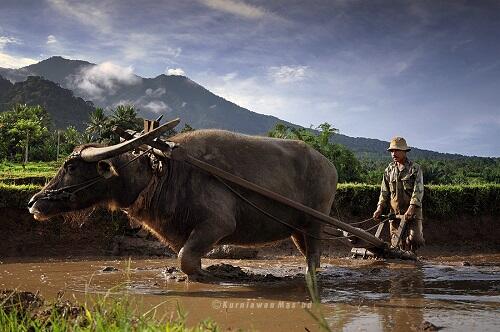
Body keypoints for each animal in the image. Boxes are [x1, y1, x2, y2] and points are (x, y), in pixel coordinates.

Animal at [28, 124, 340, 280]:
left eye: (70, 166)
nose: (33, 202)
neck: (161, 171)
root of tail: (329, 166)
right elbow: (185, 257)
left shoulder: (219, 224)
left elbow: (186, 260)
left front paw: (211, 276)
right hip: (296, 228)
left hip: (315, 221)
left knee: (314, 253)